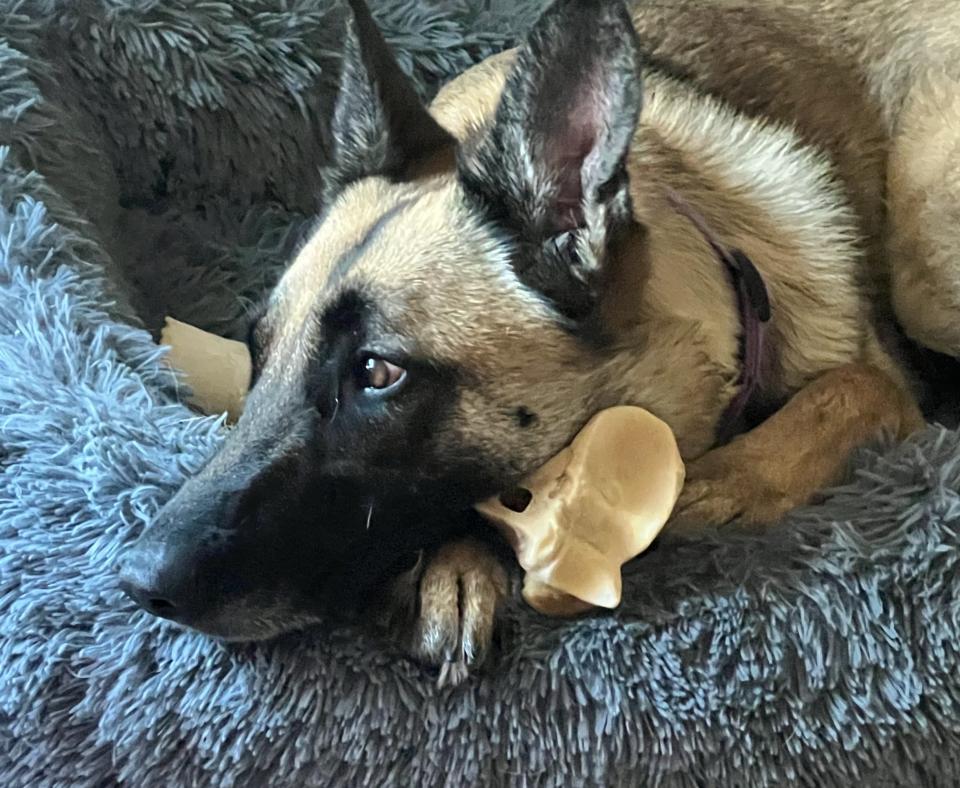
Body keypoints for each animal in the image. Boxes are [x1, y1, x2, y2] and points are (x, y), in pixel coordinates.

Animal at [120, 0, 960, 684]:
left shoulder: (881, 387)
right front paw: (457, 566)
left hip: (923, 265)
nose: (135, 584)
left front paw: (724, 484)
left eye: (378, 372)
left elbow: (849, 388)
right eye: (257, 353)